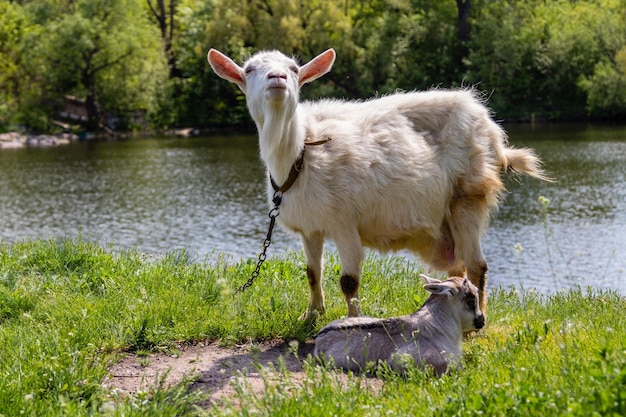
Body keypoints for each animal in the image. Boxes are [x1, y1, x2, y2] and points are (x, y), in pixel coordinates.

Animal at [206, 46, 544, 318]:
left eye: (293, 68)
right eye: (249, 69)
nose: (276, 78)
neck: (302, 152)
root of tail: (486, 122)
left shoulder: (344, 223)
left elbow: (348, 281)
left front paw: (353, 321)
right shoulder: (310, 227)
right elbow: (312, 272)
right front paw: (312, 313)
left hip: (468, 195)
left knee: (477, 266)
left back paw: (478, 319)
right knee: (457, 267)